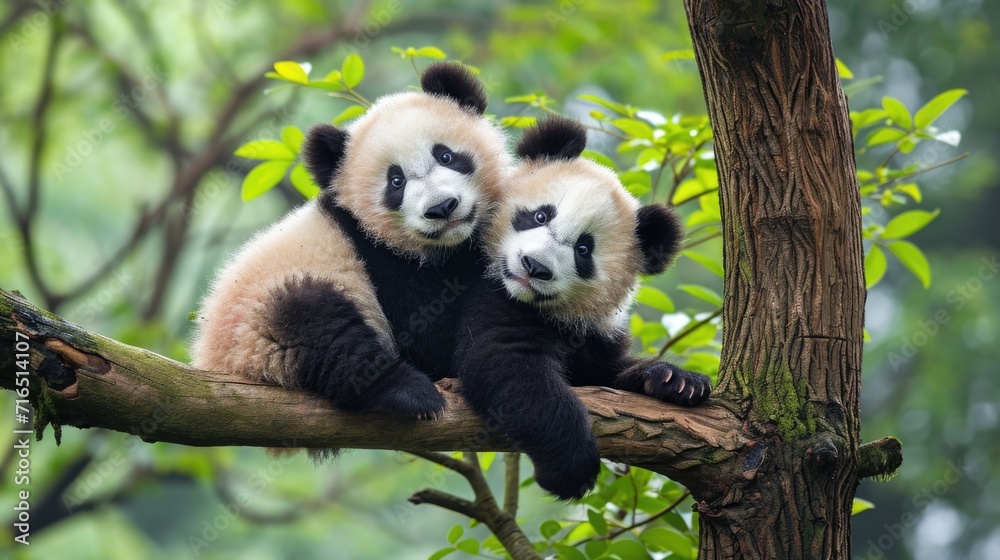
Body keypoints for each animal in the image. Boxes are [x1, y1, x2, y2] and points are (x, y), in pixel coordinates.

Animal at [190, 62, 510, 420]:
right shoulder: (389, 266)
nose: (441, 207)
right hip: (258, 325)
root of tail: (211, 359)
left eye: (446, 156)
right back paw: (408, 391)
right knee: (318, 328)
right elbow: (430, 333)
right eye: (395, 181)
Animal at [452, 116, 713, 500]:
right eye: (540, 215)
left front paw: (676, 381)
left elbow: (605, 376)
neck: (556, 313)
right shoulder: (489, 296)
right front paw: (571, 468)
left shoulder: (594, 334)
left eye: (583, 250)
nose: (534, 266)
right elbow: (508, 363)